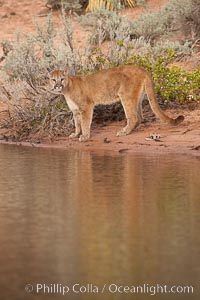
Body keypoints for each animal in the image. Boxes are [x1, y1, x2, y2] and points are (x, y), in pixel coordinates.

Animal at [49, 66, 184, 141]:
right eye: (53, 80)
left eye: (62, 79)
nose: (57, 86)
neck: (67, 89)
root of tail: (141, 68)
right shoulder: (75, 110)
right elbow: (77, 124)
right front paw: (75, 134)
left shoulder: (86, 107)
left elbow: (85, 123)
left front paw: (85, 137)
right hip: (137, 97)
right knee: (140, 117)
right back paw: (128, 130)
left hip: (126, 96)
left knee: (133, 117)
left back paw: (124, 132)